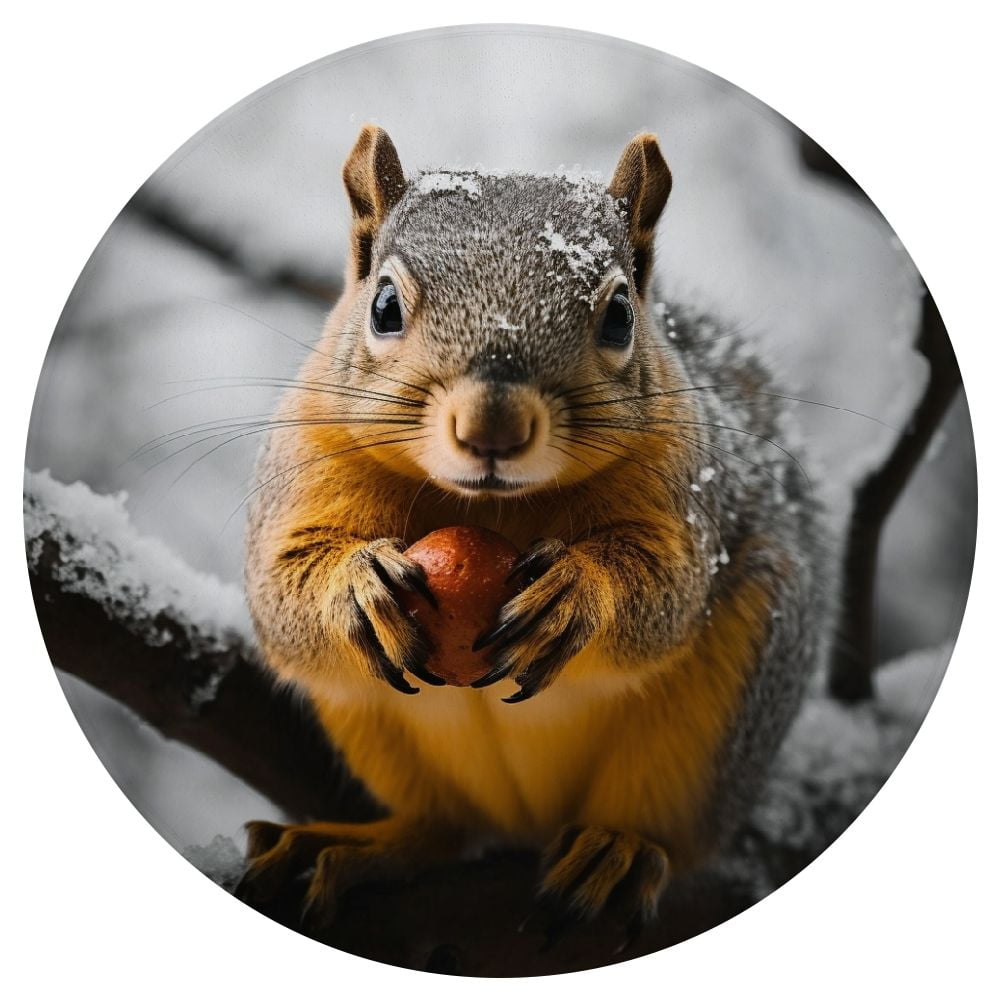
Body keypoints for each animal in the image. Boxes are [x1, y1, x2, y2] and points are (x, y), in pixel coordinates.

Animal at [239, 124, 831, 934]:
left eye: (620, 316)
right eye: (384, 305)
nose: (493, 425)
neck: (490, 506)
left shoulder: (682, 486)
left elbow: (667, 586)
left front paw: (575, 593)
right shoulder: (308, 458)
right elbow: (282, 583)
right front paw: (356, 586)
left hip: (718, 716)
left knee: (662, 823)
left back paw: (619, 851)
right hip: (373, 723)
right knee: (443, 827)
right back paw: (359, 845)